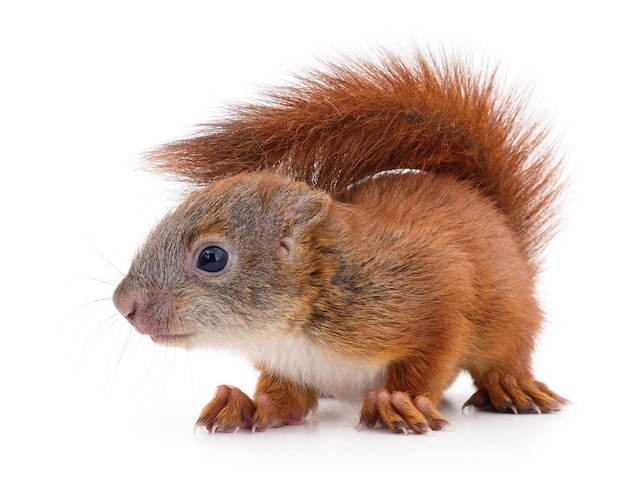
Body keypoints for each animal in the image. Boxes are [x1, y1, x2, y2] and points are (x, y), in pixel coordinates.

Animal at [111, 48, 564, 432]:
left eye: (211, 258)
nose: (123, 305)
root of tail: (490, 208)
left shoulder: (435, 296)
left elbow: (427, 363)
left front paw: (399, 403)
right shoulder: (289, 367)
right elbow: (285, 402)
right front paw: (245, 405)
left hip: (508, 317)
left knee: (508, 355)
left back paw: (512, 387)